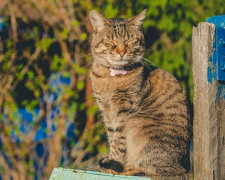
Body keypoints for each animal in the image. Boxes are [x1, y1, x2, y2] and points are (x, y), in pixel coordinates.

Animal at [89, 8, 191, 176]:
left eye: (130, 41)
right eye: (111, 42)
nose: (122, 52)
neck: (112, 78)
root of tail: (186, 166)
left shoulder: (126, 110)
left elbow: (119, 140)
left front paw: (115, 163)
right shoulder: (106, 110)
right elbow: (112, 136)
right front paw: (111, 160)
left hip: (137, 123)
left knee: (162, 171)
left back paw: (129, 169)